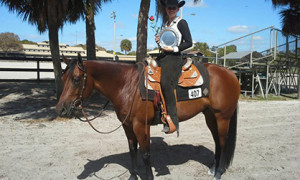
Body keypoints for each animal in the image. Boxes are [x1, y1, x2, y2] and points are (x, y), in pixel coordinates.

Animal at [55, 55, 239, 180]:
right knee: (217, 141)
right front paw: (133, 176)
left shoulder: (141, 125)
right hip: (210, 116)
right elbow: (132, 150)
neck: (128, 85)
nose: (61, 109)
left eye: (76, 79)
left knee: (223, 142)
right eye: (63, 78)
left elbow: (145, 154)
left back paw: (219, 172)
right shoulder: (127, 125)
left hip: (223, 117)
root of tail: (230, 73)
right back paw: (213, 168)